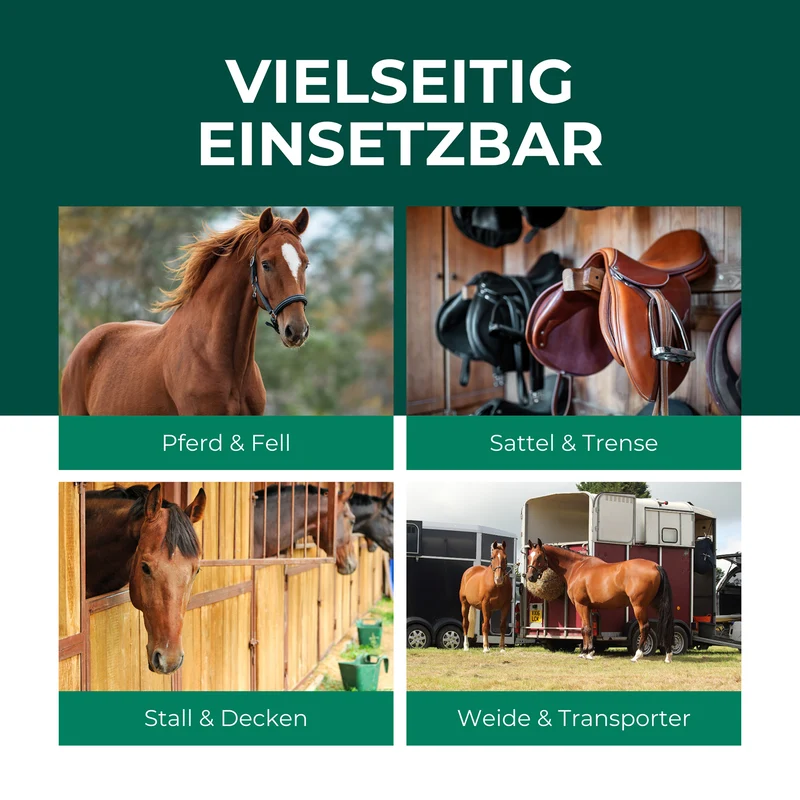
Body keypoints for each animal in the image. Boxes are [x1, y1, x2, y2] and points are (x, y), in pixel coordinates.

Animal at [525, 538, 675, 663]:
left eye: (539, 556)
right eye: (529, 556)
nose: (530, 576)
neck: (577, 568)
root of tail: (656, 566)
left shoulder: (581, 605)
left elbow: (585, 629)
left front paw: (586, 653)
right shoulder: (589, 607)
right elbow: (588, 628)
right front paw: (588, 652)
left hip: (639, 606)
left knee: (644, 627)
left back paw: (637, 655)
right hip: (657, 605)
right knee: (666, 624)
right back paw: (668, 655)